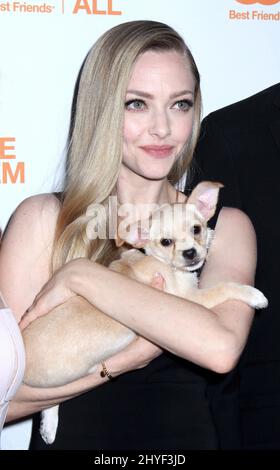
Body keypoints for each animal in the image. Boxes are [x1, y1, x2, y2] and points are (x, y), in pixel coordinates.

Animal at [21, 181, 266, 444]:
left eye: (196, 229)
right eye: (166, 242)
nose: (190, 253)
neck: (158, 261)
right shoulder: (191, 299)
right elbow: (225, 287)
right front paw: (254, 295)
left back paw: (49, 427)